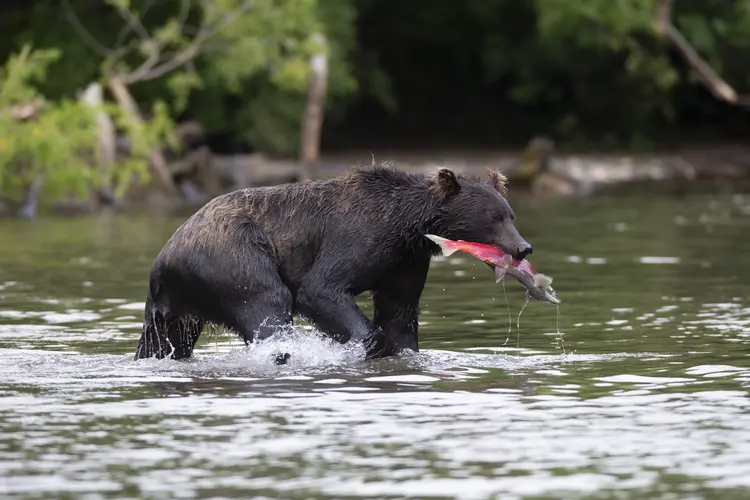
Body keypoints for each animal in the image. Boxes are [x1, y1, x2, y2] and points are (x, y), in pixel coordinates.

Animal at [135, 164, 536, 364]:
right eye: (493, 218)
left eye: (510, 215)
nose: (523, 247)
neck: (408, 226)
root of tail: (161, 261)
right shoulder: (358, 237)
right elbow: (321, 289)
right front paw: (369, 343)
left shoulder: (404, 262)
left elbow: (400, 311)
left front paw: (399, 348)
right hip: (231, 256)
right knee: (268, 302)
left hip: (181, 306)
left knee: (165, 341)